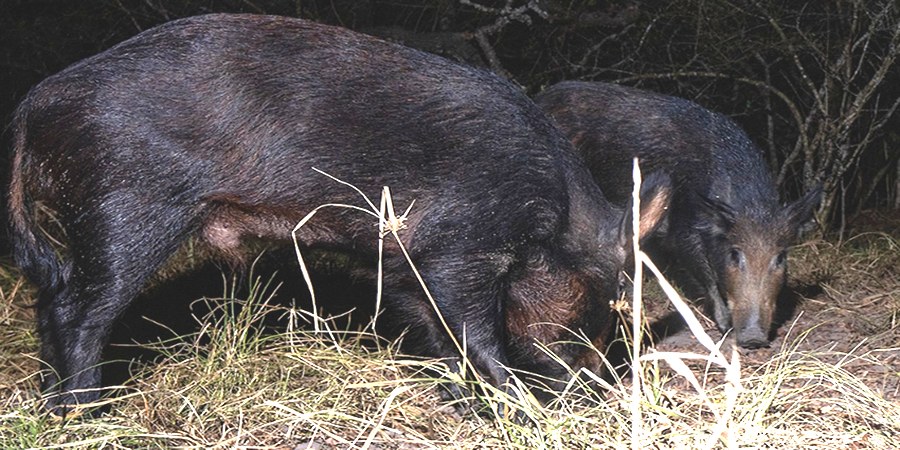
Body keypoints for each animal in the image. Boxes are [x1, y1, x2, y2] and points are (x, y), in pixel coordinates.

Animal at [8, 15, 671, 415]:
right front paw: (519, 408)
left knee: (49, 300)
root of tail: (33, 104)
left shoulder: (401, 263)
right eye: (612, 294)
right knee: (77, 310)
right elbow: (473, 331)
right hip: (126, 208)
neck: (553, 214)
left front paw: (461, 400)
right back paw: (86, 412)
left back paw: (52, 407)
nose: (594, 385)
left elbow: (433, 331)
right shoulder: (463, 244)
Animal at [534, 81, 821, 349]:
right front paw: (725, 327)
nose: (753, 338)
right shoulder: (683, 229)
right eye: (734, 253)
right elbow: (705, 274)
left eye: (780, 257)